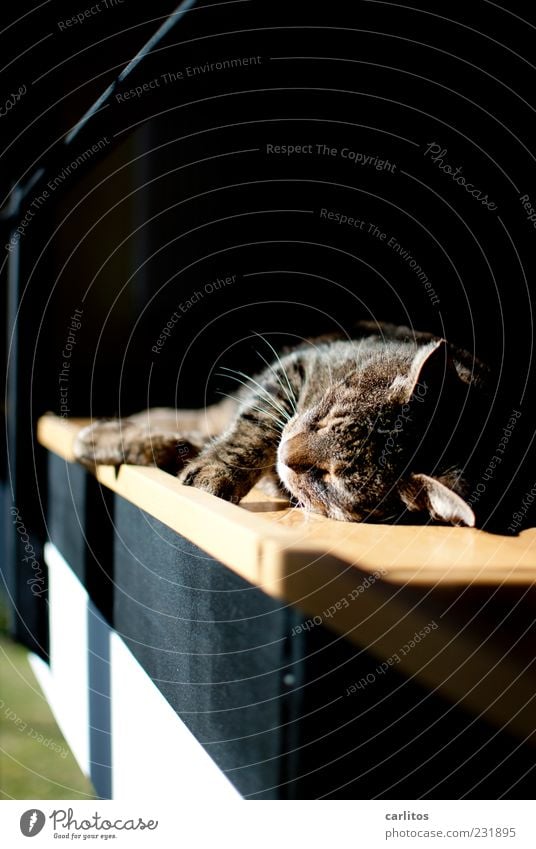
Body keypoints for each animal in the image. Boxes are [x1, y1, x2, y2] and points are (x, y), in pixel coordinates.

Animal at [73, 322, 492, 528]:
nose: (285, 454)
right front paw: (217, 470)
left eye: (329, 478)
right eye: (326, 419)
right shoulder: (294, 368)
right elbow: (254, 429)